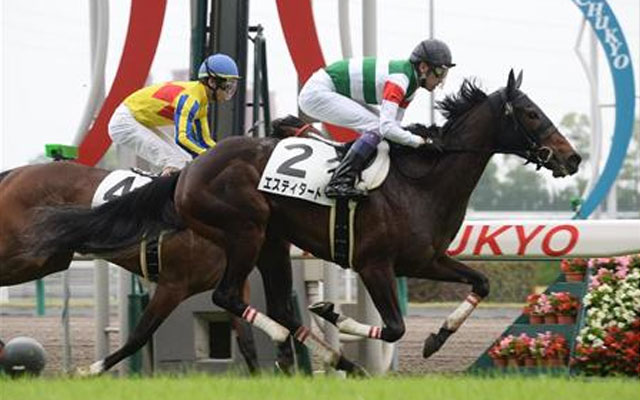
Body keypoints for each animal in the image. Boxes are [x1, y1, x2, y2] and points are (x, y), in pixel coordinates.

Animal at [0, 161, 297, 375]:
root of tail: (15, 174)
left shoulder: (234, 285)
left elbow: (247, 343)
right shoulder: (173, 285)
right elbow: (139, 335)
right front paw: (91, 369)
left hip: (47, 259)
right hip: (25, 254)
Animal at [30, 70, 581, 375]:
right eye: (531, 113)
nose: (571, 158)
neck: (421, 180)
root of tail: (188, 171)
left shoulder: (424, 258)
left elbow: (480, 282)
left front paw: (436, 339)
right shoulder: (375, 263)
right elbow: (394, 327)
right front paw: (336, 314)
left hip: (271, 241)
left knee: (267, 303)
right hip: (245, 230)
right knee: (230, 297)